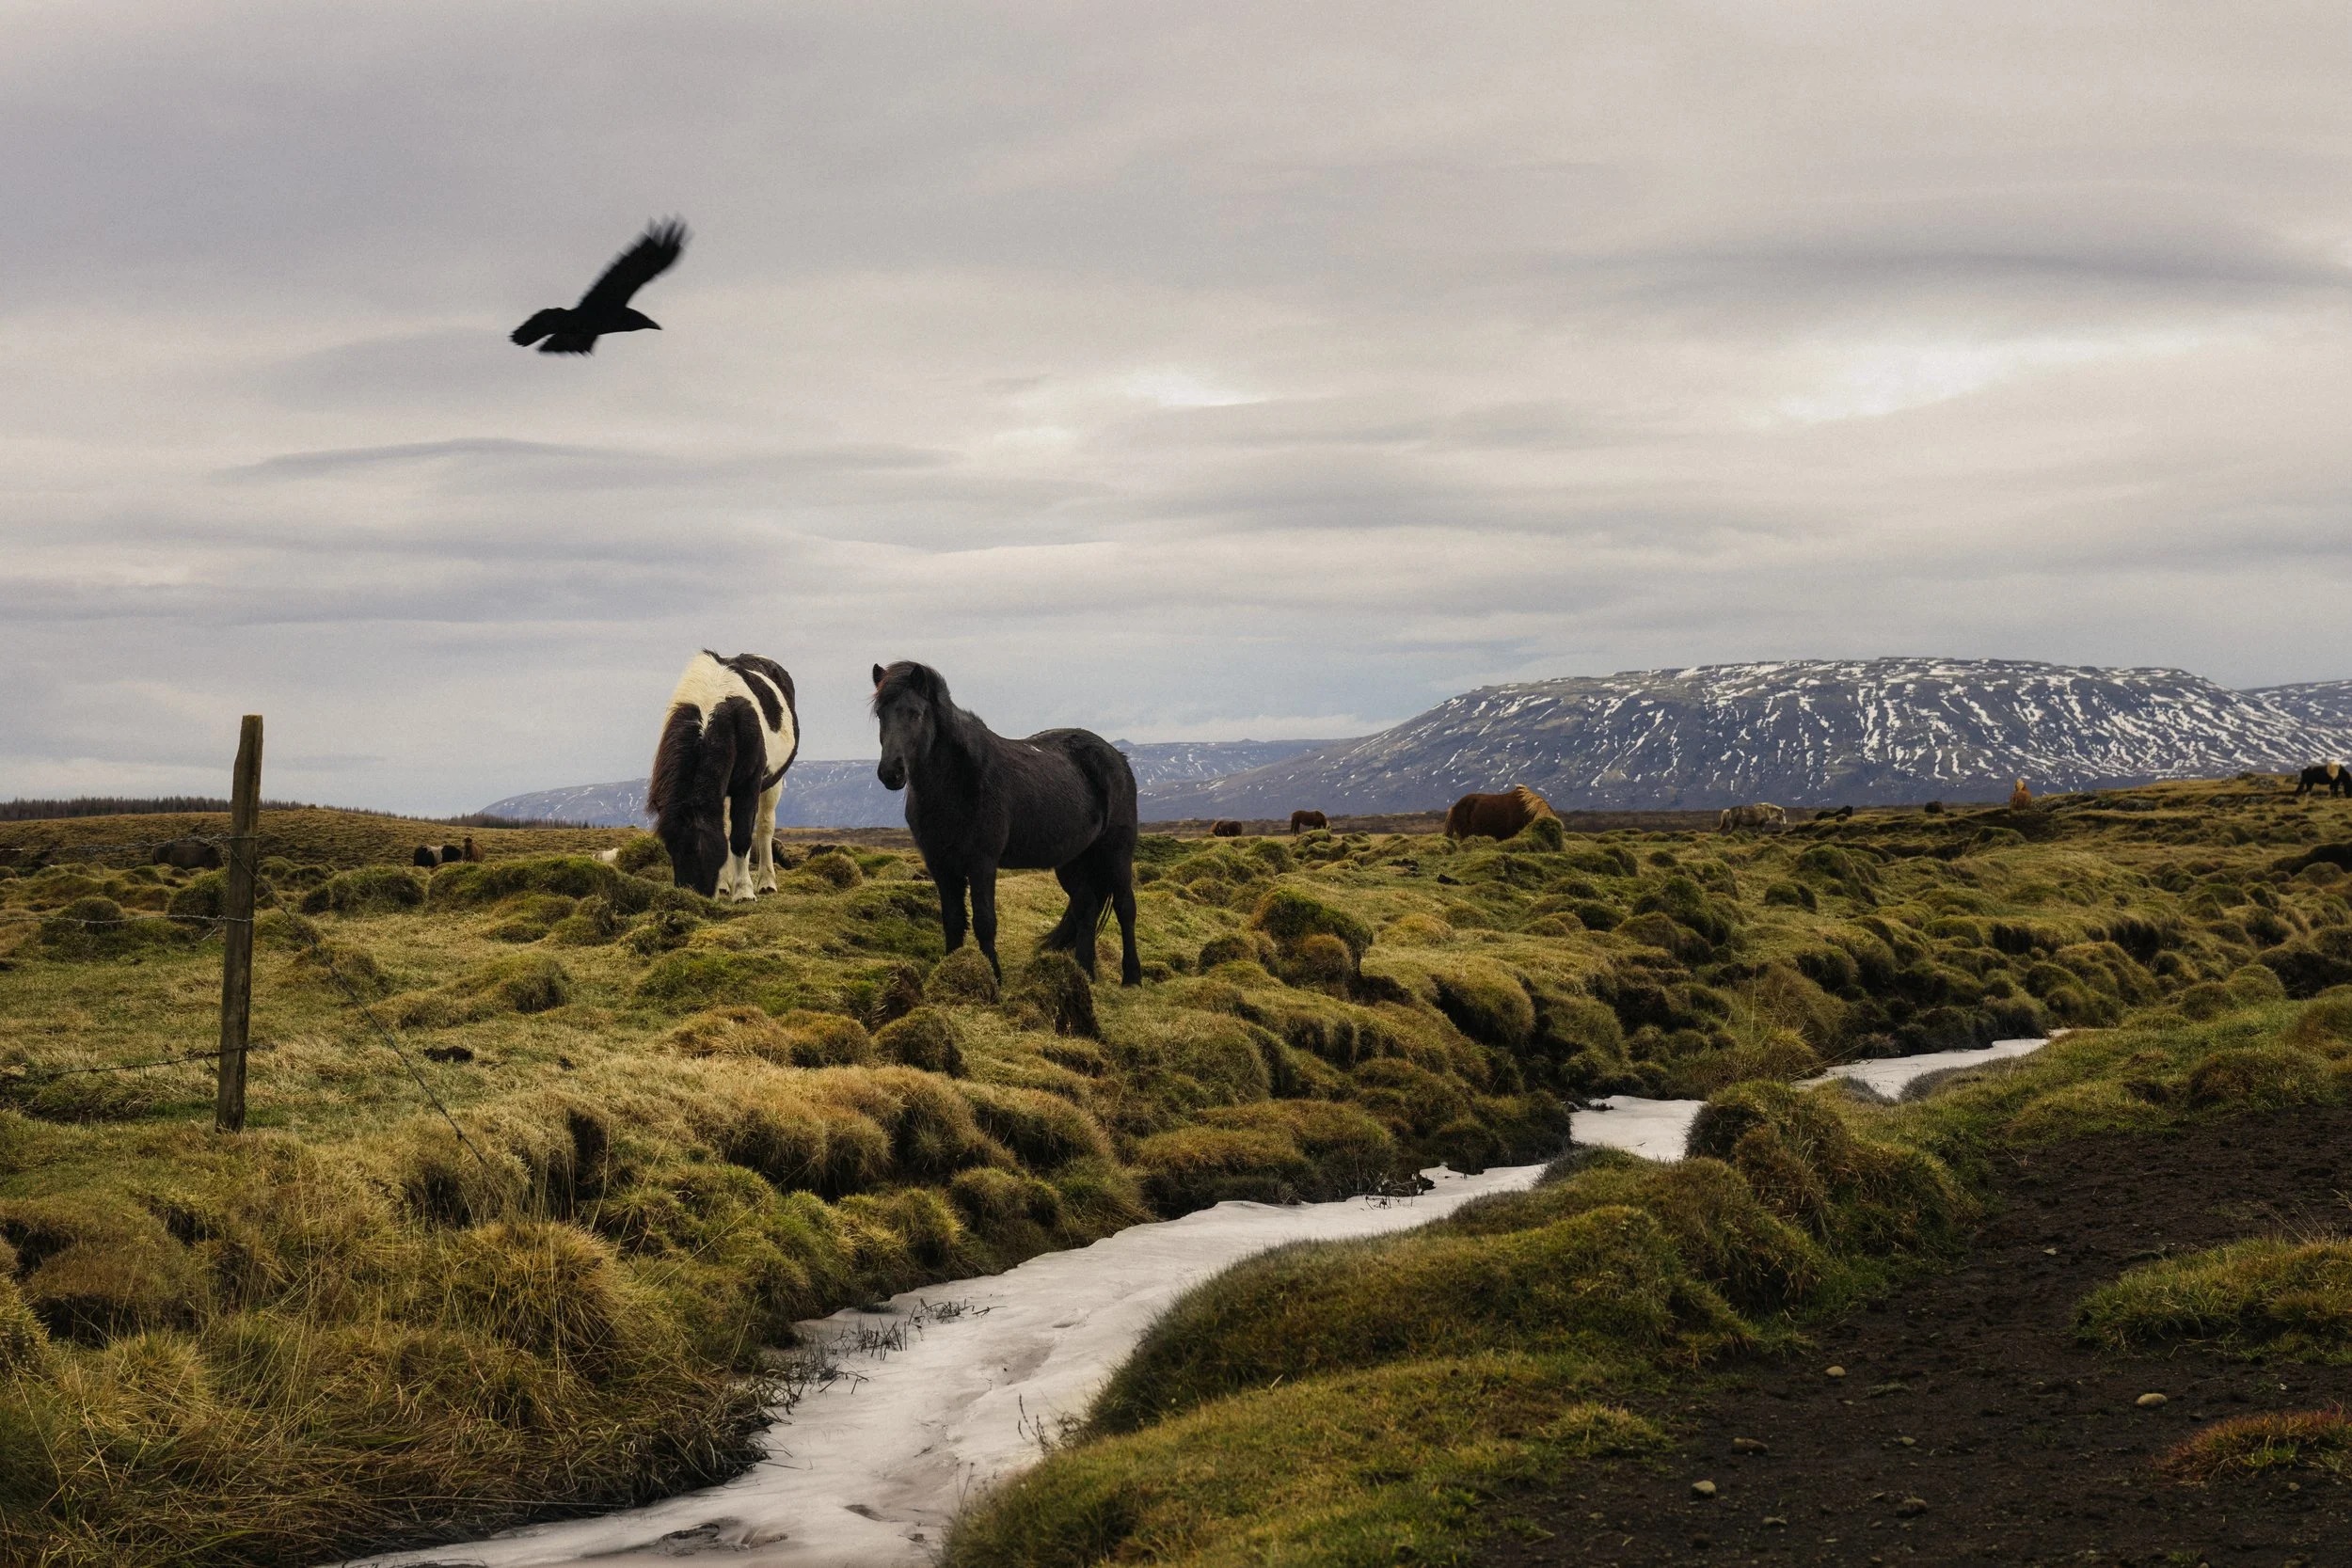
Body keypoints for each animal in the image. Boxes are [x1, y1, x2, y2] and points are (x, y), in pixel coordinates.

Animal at [647, 650, 800, 899]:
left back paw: (767, 882)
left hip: (773, 783)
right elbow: (728, 833)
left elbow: (741, 837)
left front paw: (744, 892)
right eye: (670, 847)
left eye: (702, 847)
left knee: (765, 826)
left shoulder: (748, 785)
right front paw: (726, 886)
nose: (693, 893)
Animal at [871, 660, 1140, 986]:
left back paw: (1132, 977)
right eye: (880, 714)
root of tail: (1117, 757)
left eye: (915, 713)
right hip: (1072, 860)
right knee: (1086, 908)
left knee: (1125, 908)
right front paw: (949, 973)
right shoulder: (939, 864)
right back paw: (1084, 973)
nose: (891, 773)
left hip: (1117, 851)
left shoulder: (982, 862)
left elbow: (985, 921)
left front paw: (994, 978)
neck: (957, 783)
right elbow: (952, 920)